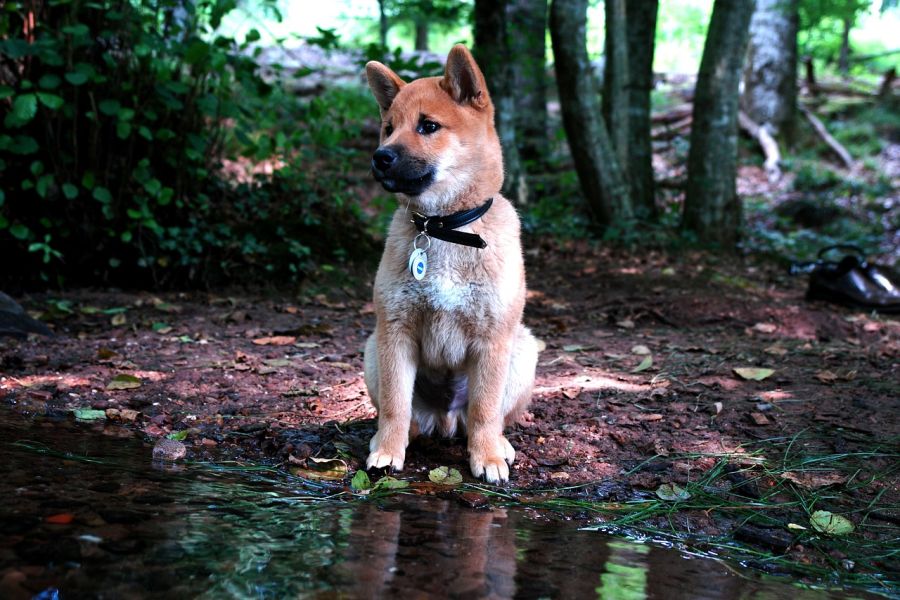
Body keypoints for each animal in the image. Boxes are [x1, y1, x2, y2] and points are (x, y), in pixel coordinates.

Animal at [362, 43, 536, 482]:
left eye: (428, 126)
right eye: (388, 127)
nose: (380, 157)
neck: (443, 228)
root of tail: (444, 419)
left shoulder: (493, 340)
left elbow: (486, 410)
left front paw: (487, 457)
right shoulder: (395, 331)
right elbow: (395, 404)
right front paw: (387, 451)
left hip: (523, 349)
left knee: (487, 417)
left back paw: (499, 445)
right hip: (373, 347)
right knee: (406, 415)